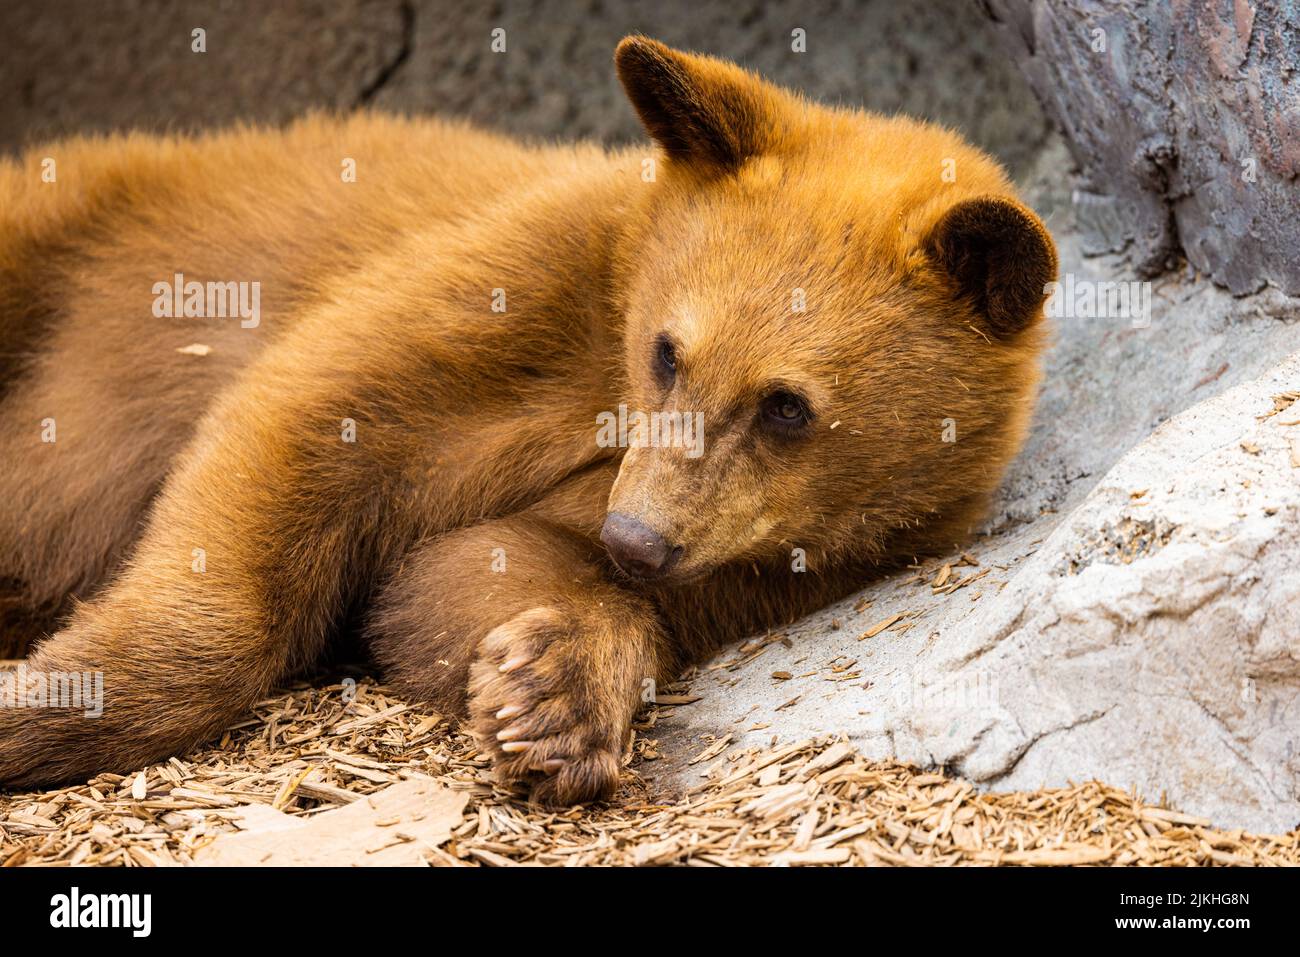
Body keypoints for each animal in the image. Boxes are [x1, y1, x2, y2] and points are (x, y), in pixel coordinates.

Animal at [0, 37, 1056, 805]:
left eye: (787, 406)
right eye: (668, 350)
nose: (637, 539)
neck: (604, 371)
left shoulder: (791, 553)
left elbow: (463, 570)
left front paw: (552, 697)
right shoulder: (525, 272)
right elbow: (301, 421)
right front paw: (45, 702)